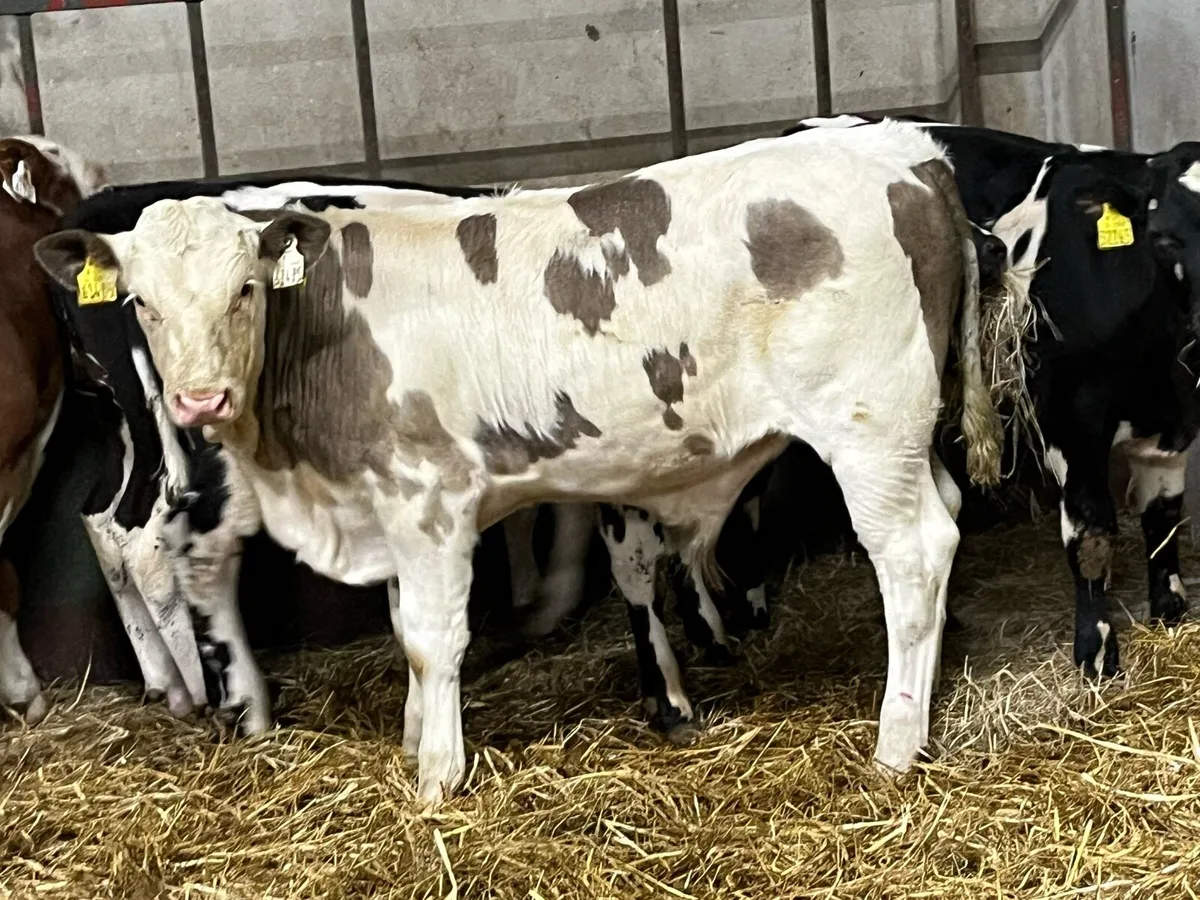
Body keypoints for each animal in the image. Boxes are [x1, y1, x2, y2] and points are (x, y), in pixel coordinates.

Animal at [36, 120, 1003, 803]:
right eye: (141, 302)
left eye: (244, 290)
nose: (200, 401)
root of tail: (906, 150)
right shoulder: (393, 506)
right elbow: (406, 630)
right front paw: (414, 737)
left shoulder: (429, 501)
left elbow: (434, 638)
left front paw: (436, 773)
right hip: (908, 433)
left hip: (869, 425)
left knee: (912, 554)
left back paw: (896, 743)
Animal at [787, 115, 1200, 678]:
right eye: (1163, 239)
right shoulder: (1070, 419)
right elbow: (1091, 535)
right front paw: (1096, 653)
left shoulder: (1173, 423)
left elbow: (1163, 519)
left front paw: (1170, 611)